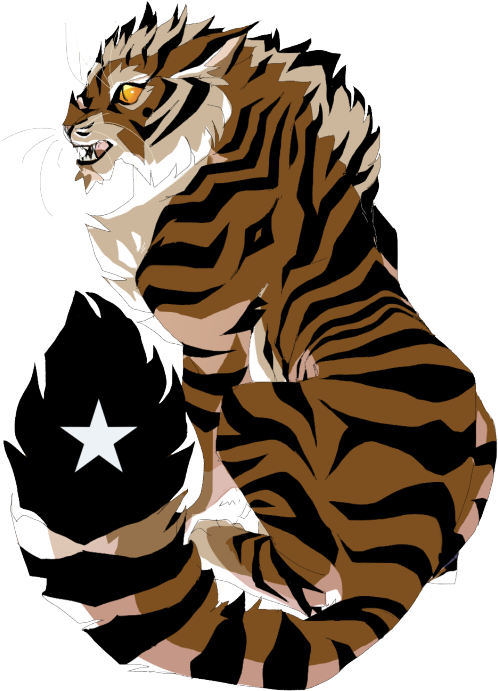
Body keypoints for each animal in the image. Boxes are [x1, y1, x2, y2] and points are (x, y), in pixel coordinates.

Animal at [10, 3, 496, 687]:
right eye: (83, 92)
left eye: (127, 91)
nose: (68, 123)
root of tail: (411, 542)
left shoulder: (208, 336)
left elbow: (208, 440)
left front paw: (200, 506)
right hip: (484, 429)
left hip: (261, 412)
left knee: (315, 582)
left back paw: (199, 536)